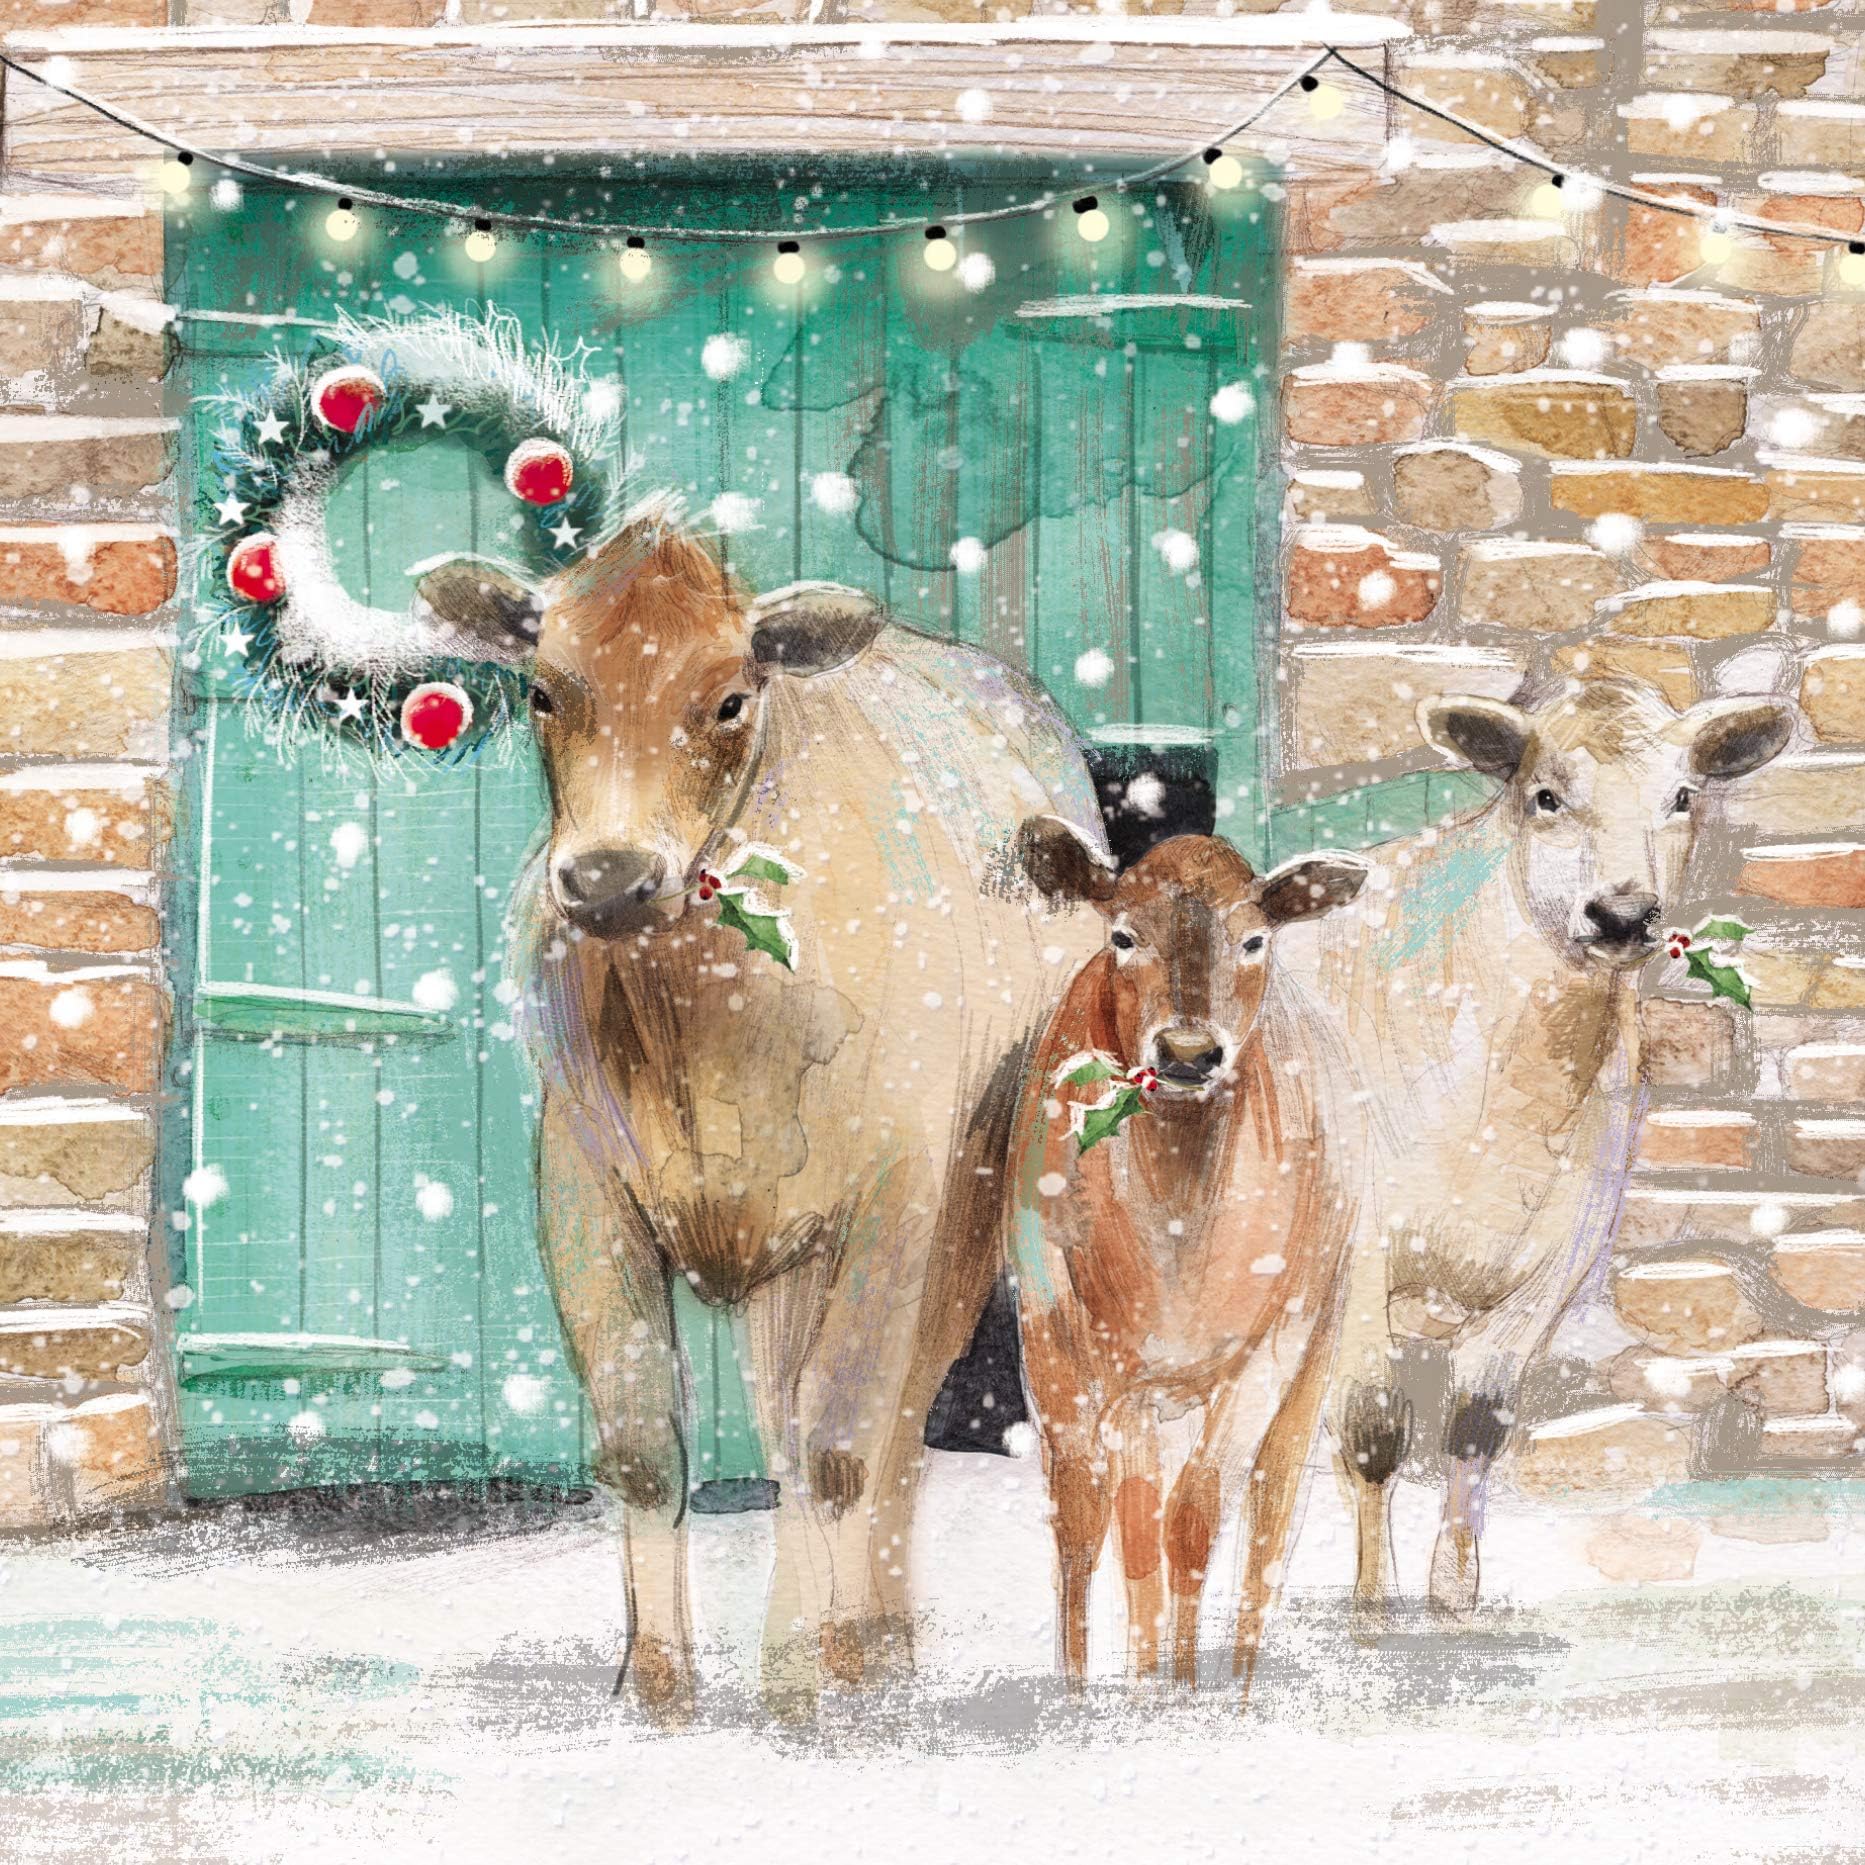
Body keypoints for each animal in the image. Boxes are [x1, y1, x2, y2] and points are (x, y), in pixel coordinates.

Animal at [410, 503, 1109, 1718]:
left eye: (731, 698)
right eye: (543, 691)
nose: (608, 876)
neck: (697, 1019)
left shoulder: (893, 1203)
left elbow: (838, 1439)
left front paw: (793, 1680)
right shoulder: (581, 1188)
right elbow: (646, 1442)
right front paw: (655, 1687)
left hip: (958, 1216)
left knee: (881, 1425)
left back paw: (867, 1645)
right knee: (787, 1421)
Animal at [1008, 822, 1369, 1687]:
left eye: (1253, 937)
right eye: (1121, 934)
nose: (1186, 1049)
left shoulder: (1264, 1350)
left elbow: (1198, 1518)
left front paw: (1184, 1692)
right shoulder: (1052, 1336)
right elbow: (1085, 1518)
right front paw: (1080, 1691)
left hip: (1316, 1334)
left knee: (1267, 1518)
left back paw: (1230, 1682)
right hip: (1141, 1393)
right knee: (1137, 1526)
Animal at [1303, 677, 1796, 1624]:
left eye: (1682, 796)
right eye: (1545, 796)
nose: (1620, 914)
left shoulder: (1558, 1254)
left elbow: (1476, 1422)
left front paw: (1453, 1595)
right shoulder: (1360, 1252)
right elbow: (1373, 1428)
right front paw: (1374, 1606)